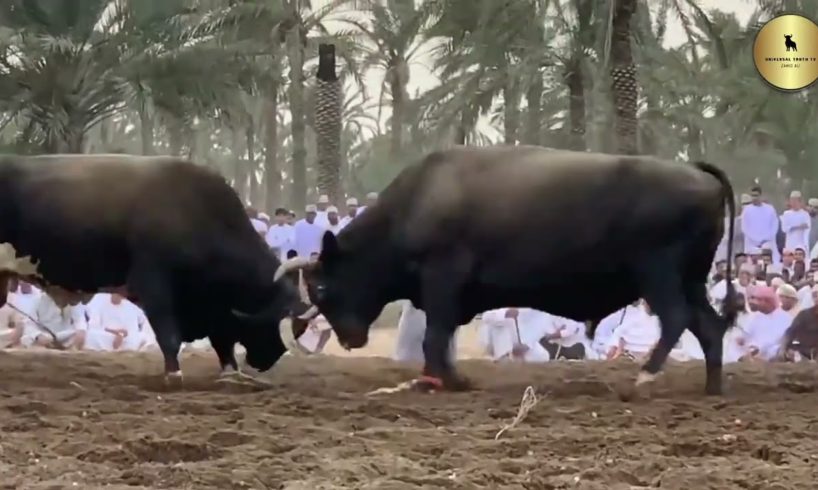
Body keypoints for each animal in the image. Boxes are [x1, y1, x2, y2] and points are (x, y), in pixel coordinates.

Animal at [0, 154, 314, 385]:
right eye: (275, 324)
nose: (265, 361)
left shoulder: (213, 304)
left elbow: (222, 341)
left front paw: (230, 373)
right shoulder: (154, 286)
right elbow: (169, 336)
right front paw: (173, 374)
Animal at [271, 146, 737, 396]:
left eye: (322, 286)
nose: (349, 339)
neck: (417, 201)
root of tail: (697, 171)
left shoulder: (443, 279)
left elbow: (434, 335)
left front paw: (452, 381)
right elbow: (437, 338)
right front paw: (438, 379)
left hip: (659, 275)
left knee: (676, 319)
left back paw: (645, 375)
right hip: (691, 280)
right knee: (709, 328)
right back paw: (712, 387)